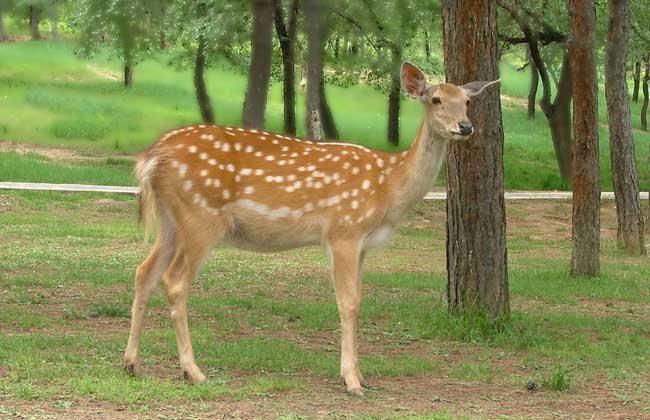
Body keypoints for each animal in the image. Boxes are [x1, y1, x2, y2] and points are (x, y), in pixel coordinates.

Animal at [124, 61, 498, 394]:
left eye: (466, 101)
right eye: (435, 99)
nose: (465, 126)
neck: (388, 187)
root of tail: (151, 156)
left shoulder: (363, 244)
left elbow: (358, 299)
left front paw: (361, 376)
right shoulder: (343, 230)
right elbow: (348, 303)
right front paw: (351, 382)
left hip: (171, 220)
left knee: (144, 271)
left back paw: (132, 364)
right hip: (201, 216)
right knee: (174, 280)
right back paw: (193, 371)